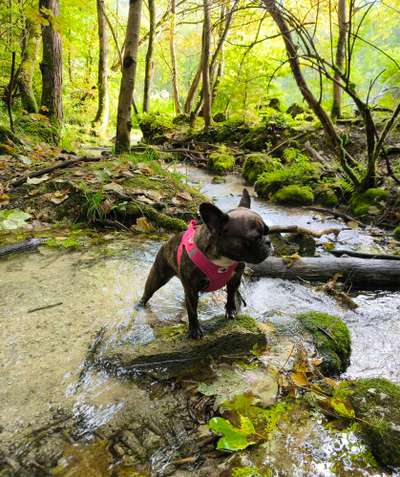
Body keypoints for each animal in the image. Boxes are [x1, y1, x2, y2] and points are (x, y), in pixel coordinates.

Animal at [138, 189, 272, 338]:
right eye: (254, 238)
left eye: (268, 231)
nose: (268, 242)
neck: (223, 259)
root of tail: (168, 241)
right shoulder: (191, 289)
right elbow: (192, 311)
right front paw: (194, 330)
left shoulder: (235, 279)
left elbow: (231, 295)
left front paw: (231, 310)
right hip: (158, 275)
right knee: (148, 292)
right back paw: (140, 305)